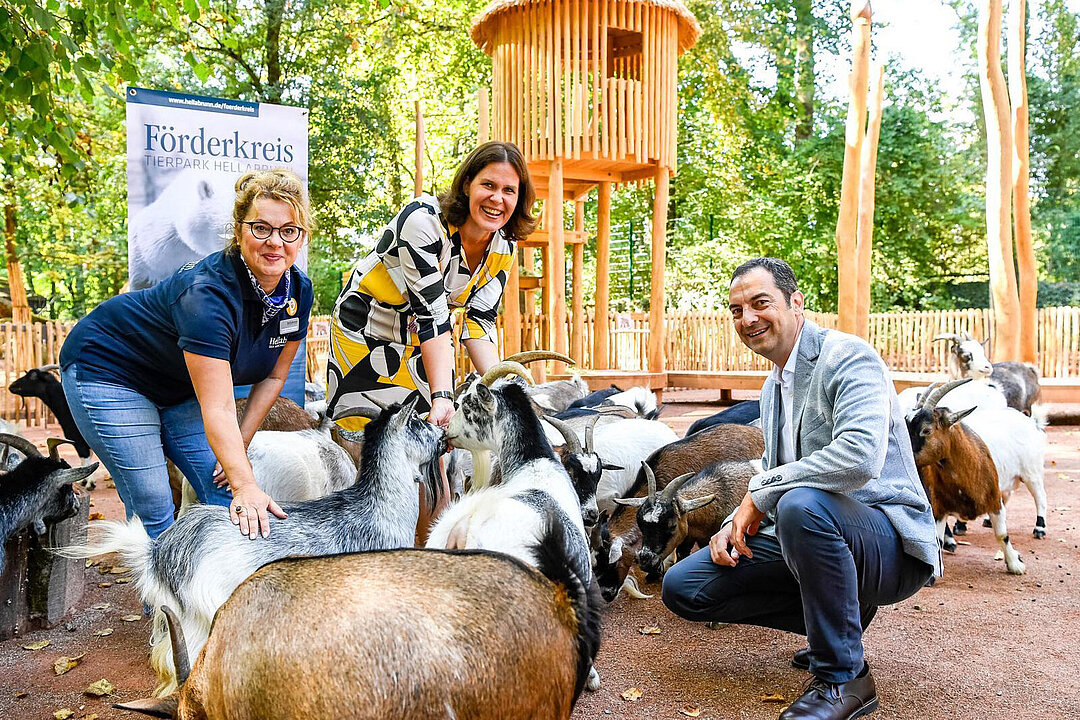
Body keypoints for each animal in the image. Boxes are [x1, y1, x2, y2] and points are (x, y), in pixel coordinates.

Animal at [907, 377, 1023, 574]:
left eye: (926, 430)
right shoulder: (939, 507)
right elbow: (936, 539)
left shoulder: (995, 501)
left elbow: (1002, 534)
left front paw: (1015, 564)